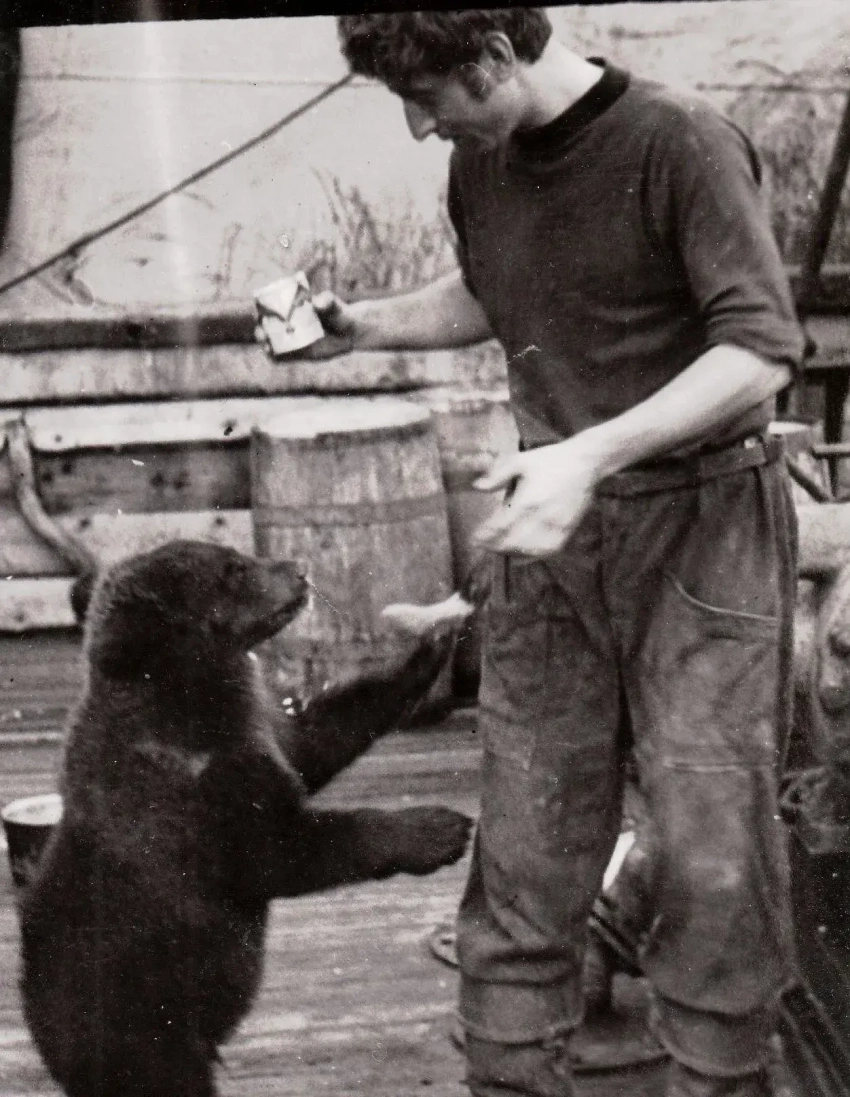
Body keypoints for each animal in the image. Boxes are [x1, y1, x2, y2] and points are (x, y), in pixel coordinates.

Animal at [19, 540, 473, 1097]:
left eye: (238, 557)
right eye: (233, 571)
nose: (298, 569)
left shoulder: (261, 736)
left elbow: (322, 735)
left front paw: (434, 642)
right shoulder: (191, 804)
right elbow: (283, 850)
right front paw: (439, 829)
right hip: (142, 1026)